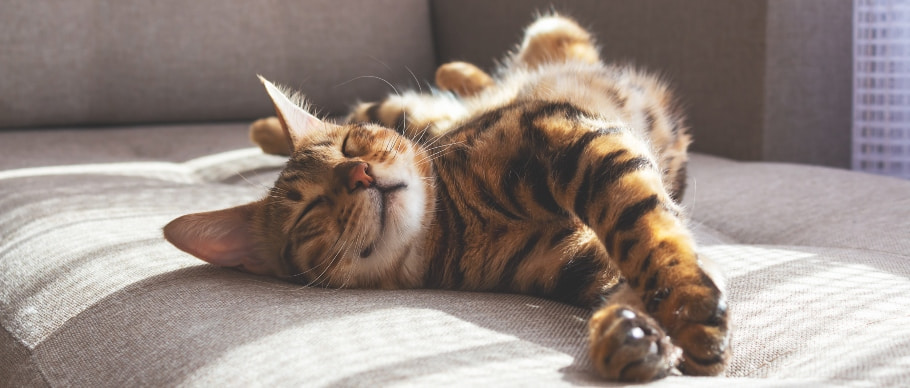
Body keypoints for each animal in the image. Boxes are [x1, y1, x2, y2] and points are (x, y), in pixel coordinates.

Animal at [166, 15, 732, 382]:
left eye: (350, 147)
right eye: (310, 209)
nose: (360, 173)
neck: (456, 225)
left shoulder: (565, 131)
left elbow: (645, 229)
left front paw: (687, 308)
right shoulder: (578, 260)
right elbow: (628, 270)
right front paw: (632, 335)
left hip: (505, 63)